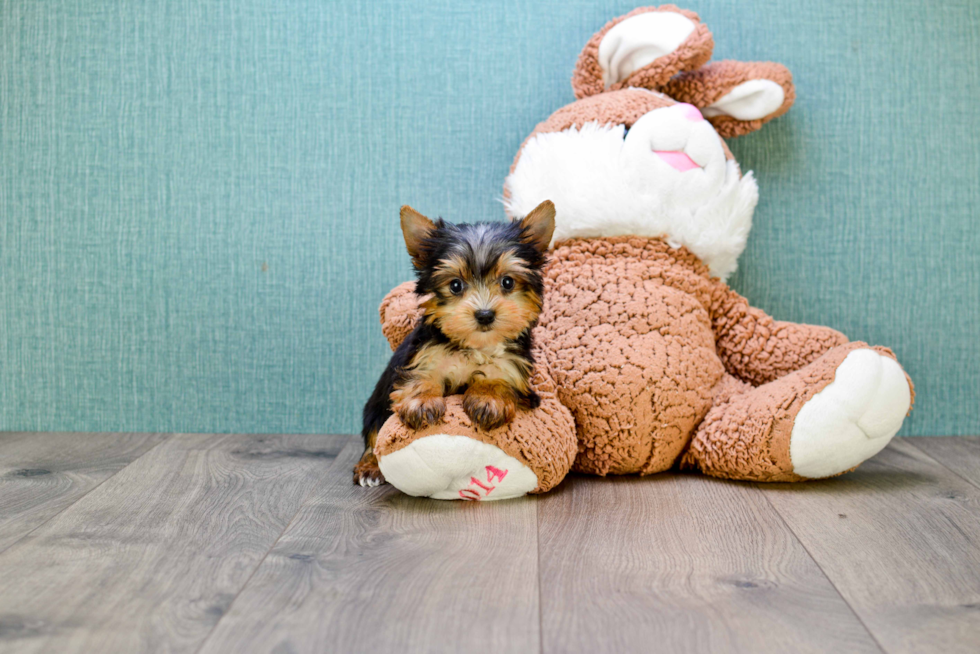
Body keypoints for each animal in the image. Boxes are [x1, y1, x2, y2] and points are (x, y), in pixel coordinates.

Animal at [354, 200, 556, 486]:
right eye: (456, 285)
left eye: (507, 282)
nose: (485, 314)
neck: (474, 346)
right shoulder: (422, 356)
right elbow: (420, 378)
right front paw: (422, 403)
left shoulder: (512, 366)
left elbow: (498, 377)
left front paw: (488, 398)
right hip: (375, 404)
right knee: (374, 434)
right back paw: (370, 466)